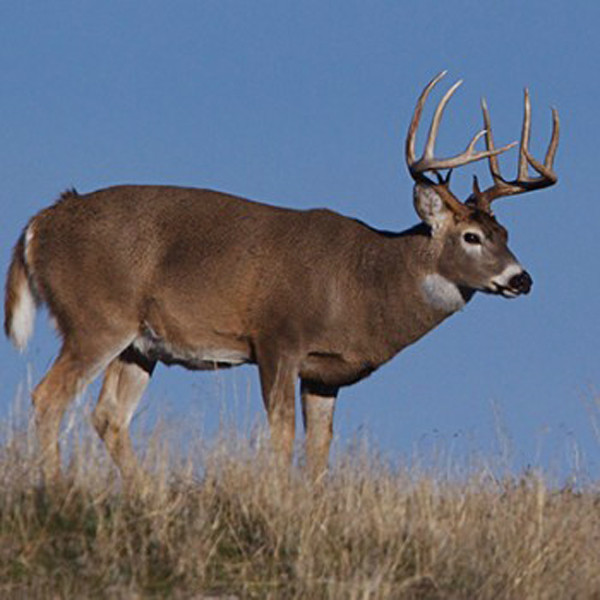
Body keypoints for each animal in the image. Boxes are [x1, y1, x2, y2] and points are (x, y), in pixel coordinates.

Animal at [3, 74, 556, 482]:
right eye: (470, 236)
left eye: (505, 232)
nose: (522, 279)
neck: (361, 282)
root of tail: (39, 223)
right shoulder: (276, 338)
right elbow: (282, 437)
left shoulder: (324, 372)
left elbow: (318, 451)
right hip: (96, 318)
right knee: (49, 397)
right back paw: (56, 489)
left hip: (139, 344)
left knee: (109, 416)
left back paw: (144, 497)